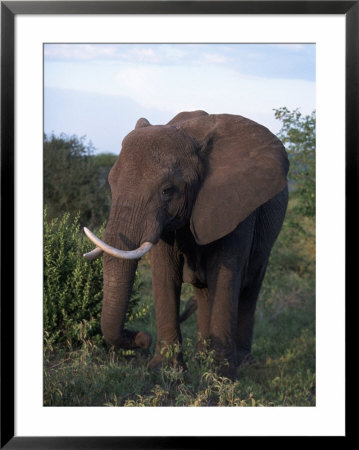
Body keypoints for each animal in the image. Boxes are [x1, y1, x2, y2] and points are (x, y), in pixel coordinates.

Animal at [84, 110, 290, 378]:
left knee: (249, 287)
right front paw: (166, 372)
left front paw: (221, 376)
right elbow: (164, 274)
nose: (142, 337)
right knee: (204, 293)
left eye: (167, 191)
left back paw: (244, 364)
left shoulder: (238, 208)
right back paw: (202, 357)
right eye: (110, 183)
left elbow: (226, 276)